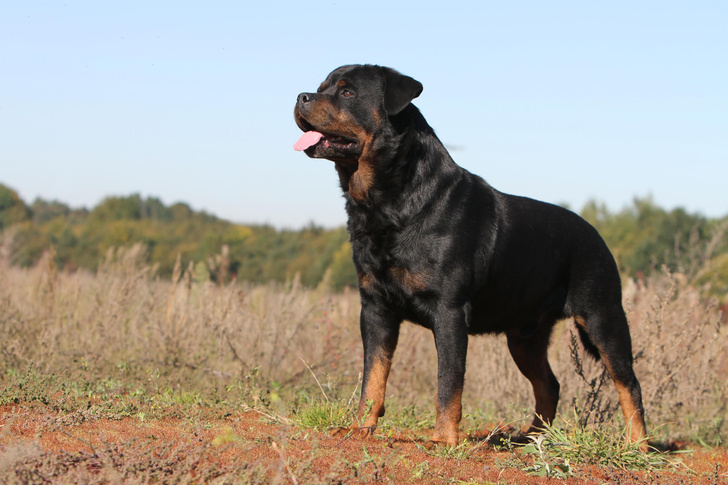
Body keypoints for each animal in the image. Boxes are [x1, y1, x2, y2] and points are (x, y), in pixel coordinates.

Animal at [292, 65, 644, 450]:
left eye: (347, 93)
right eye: (322, 86)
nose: (301, 96)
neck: (390, 204)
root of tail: (597, 234)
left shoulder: (449, 311)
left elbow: (448, 381)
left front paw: (443, 439)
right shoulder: (375, 308)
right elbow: (373, 374)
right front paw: (360, 428)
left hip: (602, 317)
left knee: (628, 382)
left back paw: (638, 446)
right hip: (525, 336)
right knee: (549, 383)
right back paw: (531, 439)